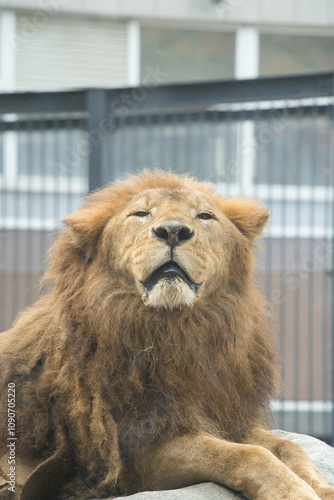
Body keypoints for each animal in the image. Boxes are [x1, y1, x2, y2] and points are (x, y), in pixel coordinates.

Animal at [0, 170, 334, 498]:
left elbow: (289, 447)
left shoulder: (226, 417)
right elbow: (246, 455)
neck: (179, 329)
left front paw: (320, 487)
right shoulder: (143, 450)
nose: (173, 231)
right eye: (140, 213)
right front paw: (295, 491)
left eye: (204, 216)